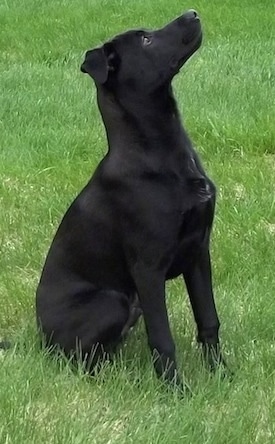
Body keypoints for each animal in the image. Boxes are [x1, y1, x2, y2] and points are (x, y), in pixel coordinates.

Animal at [36, 8, 226, 386]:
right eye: (146, 40)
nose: (193, 13)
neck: (161, 154)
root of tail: (37, 338)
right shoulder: (148, 268)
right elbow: (162, 339)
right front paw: (176, 391)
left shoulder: (199, 250)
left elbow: (208, 320)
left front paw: (221, 374)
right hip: (114, 301)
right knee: (80, 358)